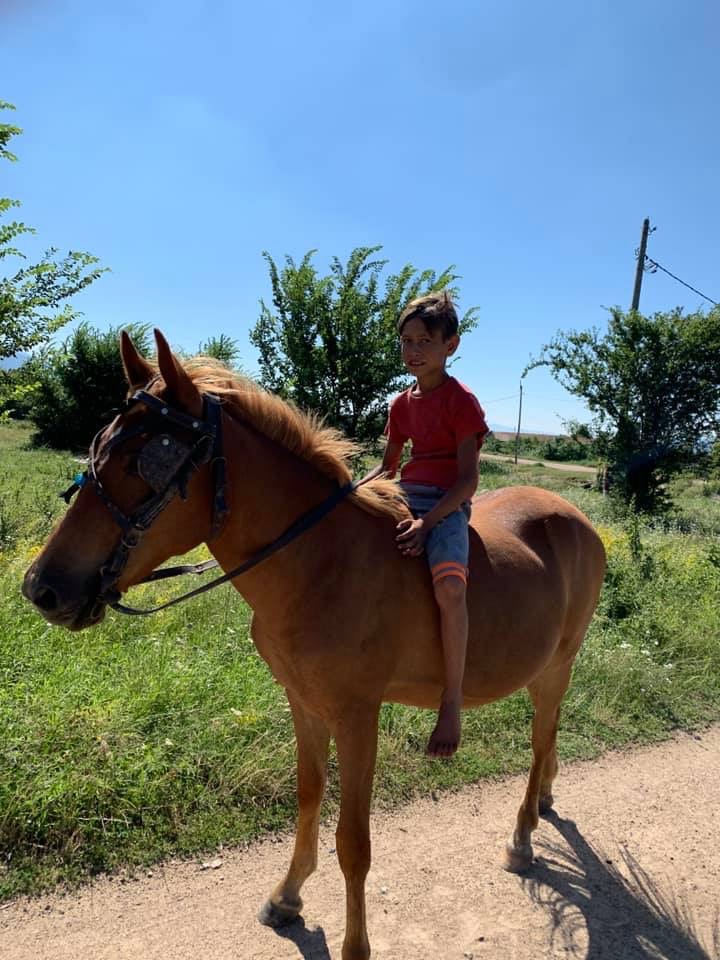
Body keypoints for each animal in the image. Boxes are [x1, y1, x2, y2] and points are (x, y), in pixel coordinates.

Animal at [22, 330, 604, 960]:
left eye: (147, 462)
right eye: (99, 447)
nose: (41, 588)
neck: (320, 562)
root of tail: (578, 519)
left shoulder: (356, 716)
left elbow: (353, 840)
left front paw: (354, 944)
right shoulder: (303, 702)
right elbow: (307, 797)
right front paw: (287, 896)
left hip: (558, 663)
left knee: (541, 739)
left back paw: (522, 835)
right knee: (548, 739)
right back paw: (544, 801)